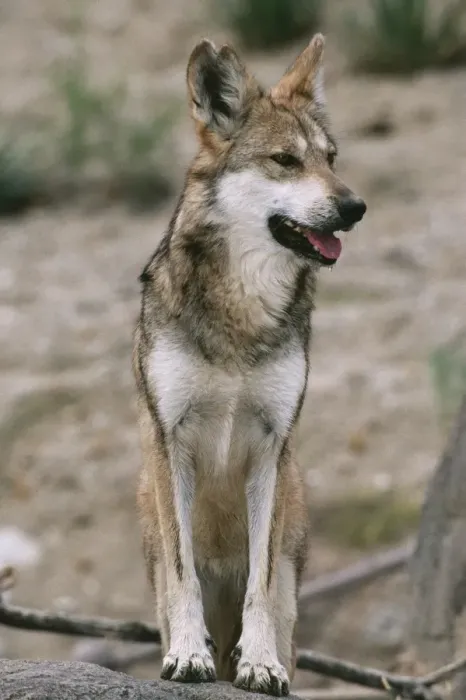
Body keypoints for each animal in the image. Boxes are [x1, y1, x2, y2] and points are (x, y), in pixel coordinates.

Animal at [133, 33, 366, 696]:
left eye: (331, 159)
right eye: (285, 161)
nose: (355, 206)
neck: (244, 314)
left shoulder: (272, 445)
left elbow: (258, 584)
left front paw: (258, 664)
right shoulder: (170, 439)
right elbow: (184, 574)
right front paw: (189, 656)